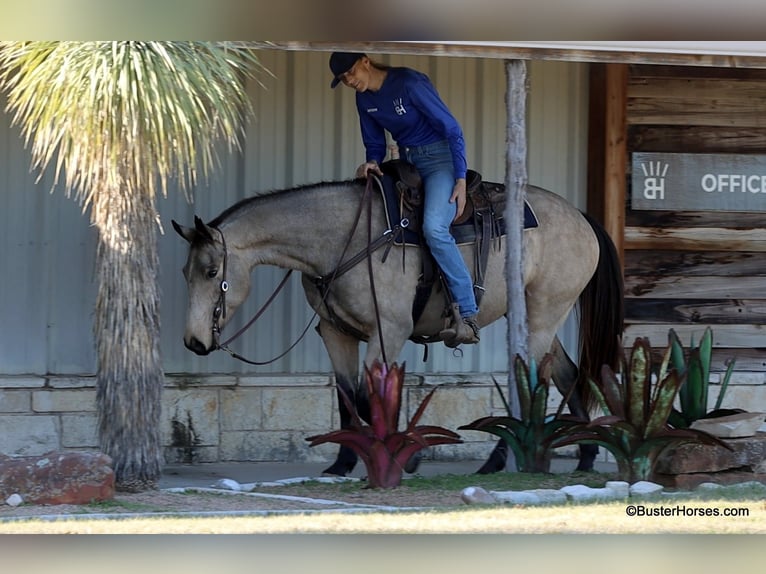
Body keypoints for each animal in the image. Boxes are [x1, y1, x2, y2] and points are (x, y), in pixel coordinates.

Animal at [172, 171, 624, 476]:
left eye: (212, 272)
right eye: (185, 273)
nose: (194, 341)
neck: (345, 241)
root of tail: (581, 217)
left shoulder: (387, 332)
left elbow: (371, 397)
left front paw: (409, 455)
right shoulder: (337, 333)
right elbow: (348, 397)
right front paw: (343, 463)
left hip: (543, 315)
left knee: (532, 380)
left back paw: (500, 460)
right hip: (534, 317)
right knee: (567, 374)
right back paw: (585, 455)